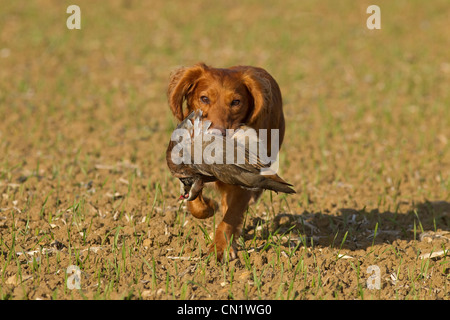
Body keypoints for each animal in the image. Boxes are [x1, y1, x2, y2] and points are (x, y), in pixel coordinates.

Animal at [167, 62, 286, 260]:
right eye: (204, 98)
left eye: (236, 102)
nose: (215, 136)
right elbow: (196, 204)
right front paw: (208, 207)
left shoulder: (242, 181)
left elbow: (231, 215)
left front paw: (220, 248)